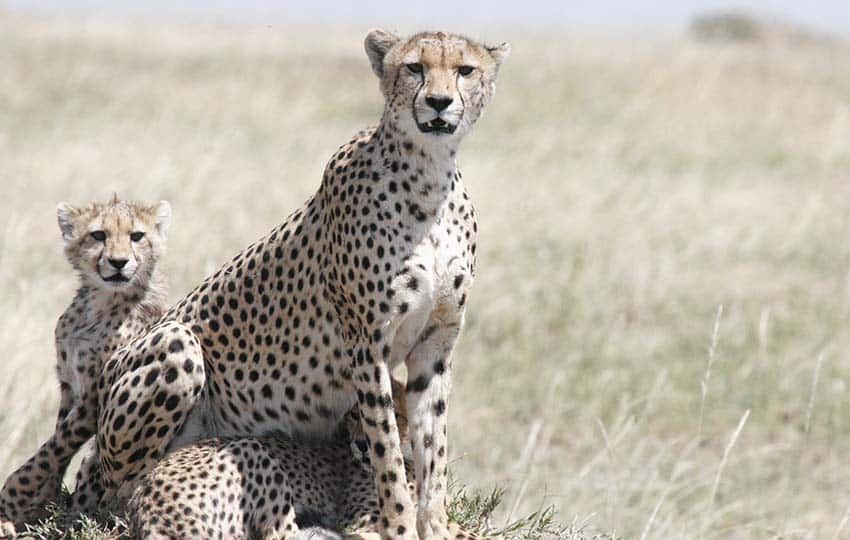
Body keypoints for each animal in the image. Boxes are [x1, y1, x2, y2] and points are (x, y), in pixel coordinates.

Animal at [0, 196, 172, 538]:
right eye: (98, 235)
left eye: (137, 236)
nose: (118, 262)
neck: (101, 302)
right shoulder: (69, 383)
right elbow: (56, 442)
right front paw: (44, 500)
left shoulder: (96, 393)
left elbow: (57, 445)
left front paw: (15, 494)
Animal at [91, 29, 509, 540]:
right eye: (414, 67)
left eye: (465, 70)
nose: (438, 101)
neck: (428, 178)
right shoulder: (366, 343)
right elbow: (388, 451)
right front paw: (399, 522)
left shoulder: (435, 345)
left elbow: (434, 451)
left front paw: (436, 523)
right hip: (176, 346)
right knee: (122, 493)